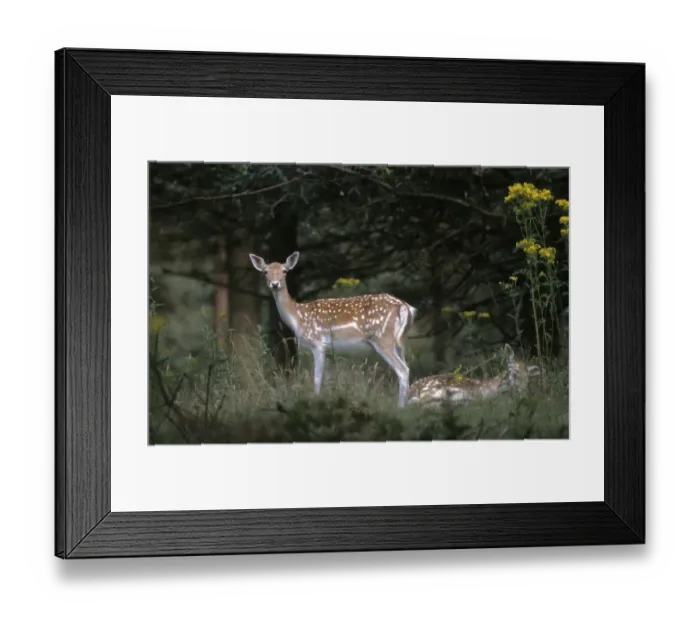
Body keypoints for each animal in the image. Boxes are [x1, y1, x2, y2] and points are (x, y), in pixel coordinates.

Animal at [249, 251, 418, 407]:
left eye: (284, 271)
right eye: (265, 271)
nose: (275, 284)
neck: (298, 318)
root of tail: (405, 307)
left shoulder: (318, 343)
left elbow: (317, 379)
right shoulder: (330, 351)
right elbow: (329, 381)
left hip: (383, 339)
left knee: (403, 370)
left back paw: (400, 408)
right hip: (400, 342)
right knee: (407, 367)